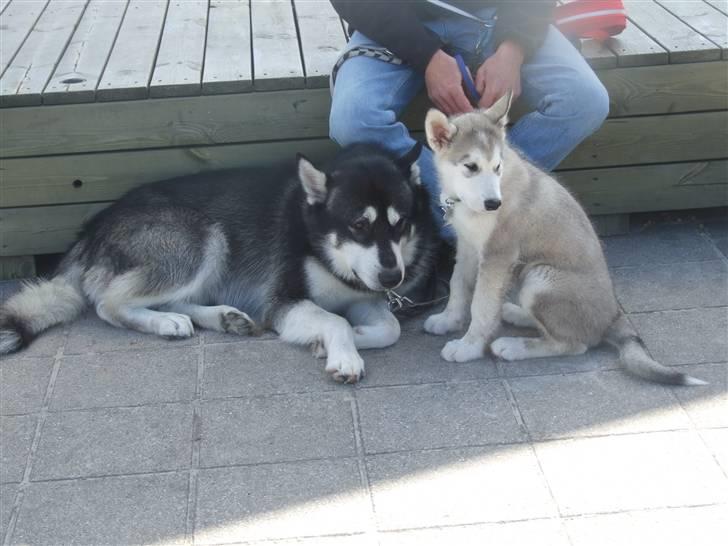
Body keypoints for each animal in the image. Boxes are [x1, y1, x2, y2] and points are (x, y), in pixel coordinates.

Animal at [0, 144, 438, 383]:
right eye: (359, 225)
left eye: (401, 224)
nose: (392, 276)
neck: (321, 247)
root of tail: (93, 226)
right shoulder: (284, 301)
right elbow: (335, 321)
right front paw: (342, 352)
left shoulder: (363, 296)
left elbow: (390, 327)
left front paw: (348, 340)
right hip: (206, 238)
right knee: (109, 303)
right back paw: (166, 322)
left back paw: (221, 318)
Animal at [423, 94, 705, 386]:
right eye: (471, 167)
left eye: (497, 167)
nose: (493, 204)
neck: (465, 202)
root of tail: (614, 317)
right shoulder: (468, 246)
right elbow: (458, 285)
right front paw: (448, 320)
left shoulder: (498, 256)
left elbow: (482, 304)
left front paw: (468, 347)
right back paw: (515, 313)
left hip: (540, 277)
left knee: (574, 343)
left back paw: (513, 346)